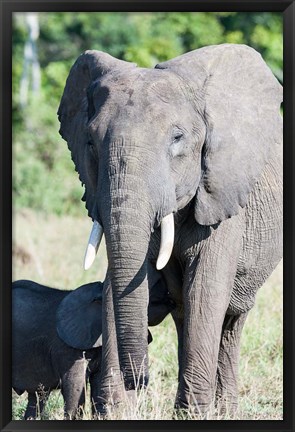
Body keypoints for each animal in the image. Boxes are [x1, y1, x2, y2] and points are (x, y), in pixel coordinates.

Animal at [58, 43, 284, 416]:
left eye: (177, 138)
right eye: (90, 143)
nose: (141, 380)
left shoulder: (221, 195)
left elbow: (206, 290)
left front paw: (192, 415)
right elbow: (115, 285)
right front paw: (117, 412)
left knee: (230, 319)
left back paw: (223, 412)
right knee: (185, 314)